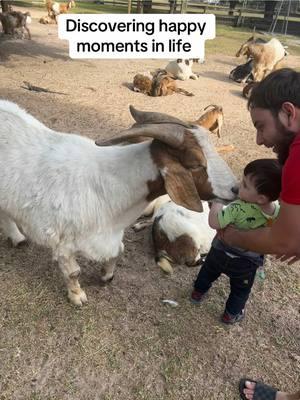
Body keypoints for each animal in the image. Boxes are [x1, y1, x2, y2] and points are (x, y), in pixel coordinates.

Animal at [1, 101, 238, 304]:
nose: (235, 188)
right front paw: (77, 296)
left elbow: (117, 252)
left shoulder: (109, 236)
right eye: (196, 163)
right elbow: (73, 272)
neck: (108, 184)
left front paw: (107, 276)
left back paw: (17, 238)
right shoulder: (63, 243)